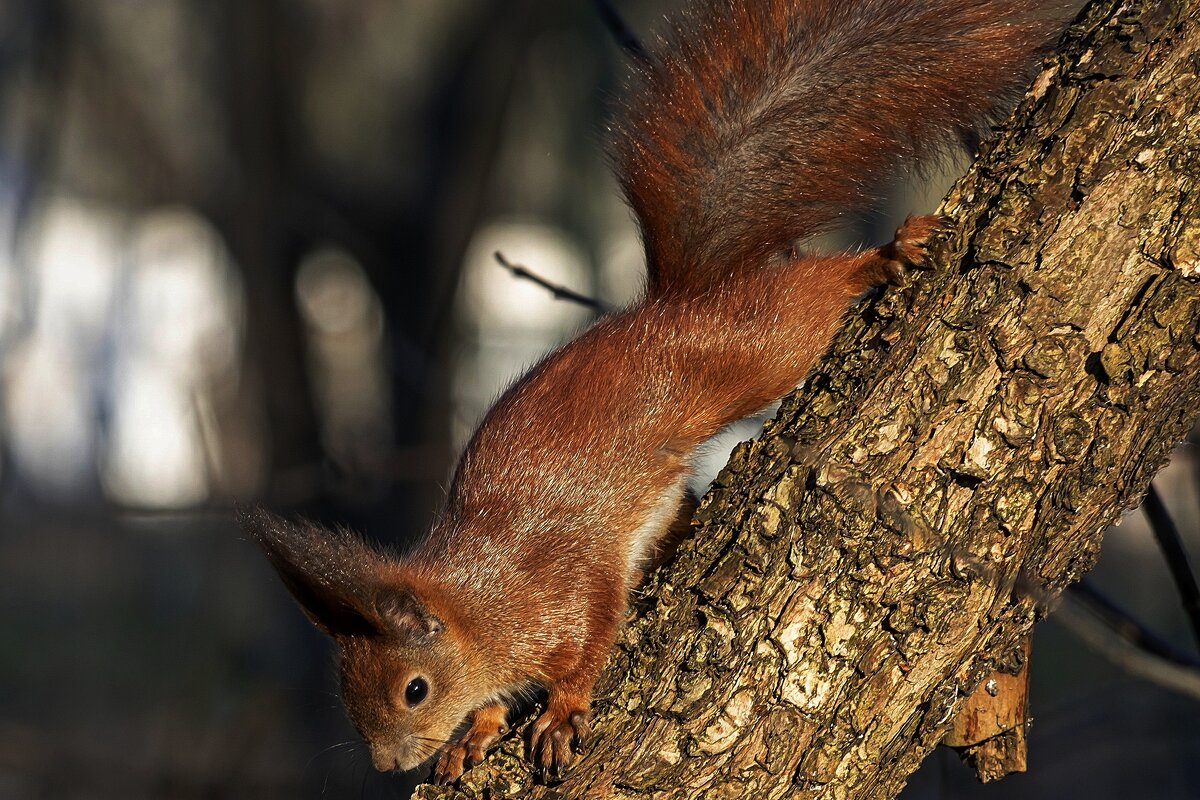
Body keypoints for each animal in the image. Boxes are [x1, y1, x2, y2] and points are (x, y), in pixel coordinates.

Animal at [241, 0, 1070, 786]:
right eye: (349, 697)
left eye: (414, 690)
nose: (388, 766)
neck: (480, 611)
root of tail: (674, 306)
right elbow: (493, 705)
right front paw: (475, 735)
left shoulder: (563, 590)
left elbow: (591, 640)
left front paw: (559, 711)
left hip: (751, 349)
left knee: (805, 300)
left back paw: (885, 254)